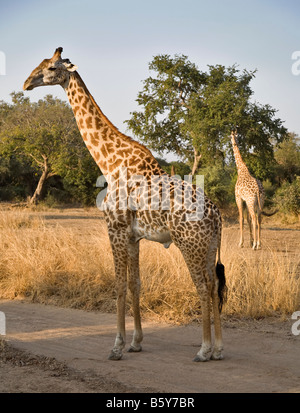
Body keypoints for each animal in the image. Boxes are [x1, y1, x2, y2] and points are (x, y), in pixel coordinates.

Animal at [24, 45, 227, 360]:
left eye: (51, 68)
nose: (26, 83)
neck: (109, 162)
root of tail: (216, 215)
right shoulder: (133, 236)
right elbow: (135, 284)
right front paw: (136, 342)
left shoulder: (115, 230)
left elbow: (119, 284)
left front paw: (117, 346)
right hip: (209, 246)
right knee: (215, 284)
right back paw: (217, 349)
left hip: (189, 243)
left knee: (203, 286)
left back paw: (204, 350)